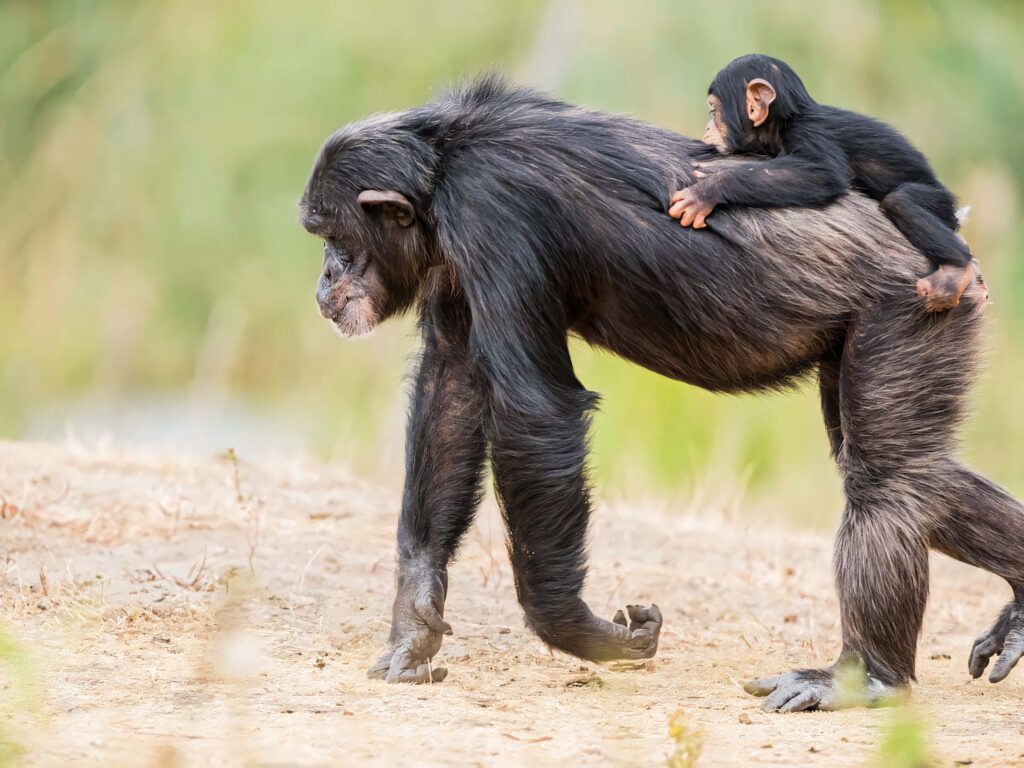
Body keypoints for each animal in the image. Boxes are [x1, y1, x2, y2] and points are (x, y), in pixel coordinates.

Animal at [668, 54, 975, 313]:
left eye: (713, 110)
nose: (708, 127)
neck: (786, 121)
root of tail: (956, 213)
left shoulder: (809, 132)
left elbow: (825, 174)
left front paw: (707, 191)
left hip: (939, 202)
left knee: (903, 201)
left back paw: (955, 270)